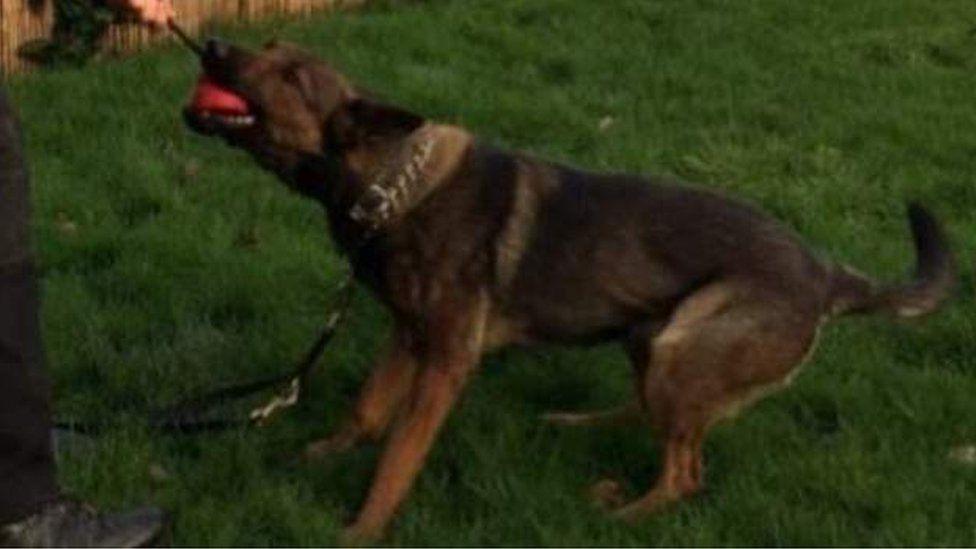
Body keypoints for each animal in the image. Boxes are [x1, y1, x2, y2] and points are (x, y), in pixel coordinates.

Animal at [183, 39, 952, 544]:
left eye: (289, 73)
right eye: (266, 49)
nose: (213, 43)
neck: (386, 183)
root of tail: (827, 271)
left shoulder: (445, 360)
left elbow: (399, 453)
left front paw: (359, 530)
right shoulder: (408, 334)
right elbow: (368, 411)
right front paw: (322, 454)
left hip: (682, 345)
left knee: (686, 472)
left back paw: (618, 515)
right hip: (652, 336)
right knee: (653, 417)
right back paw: (577, 425)